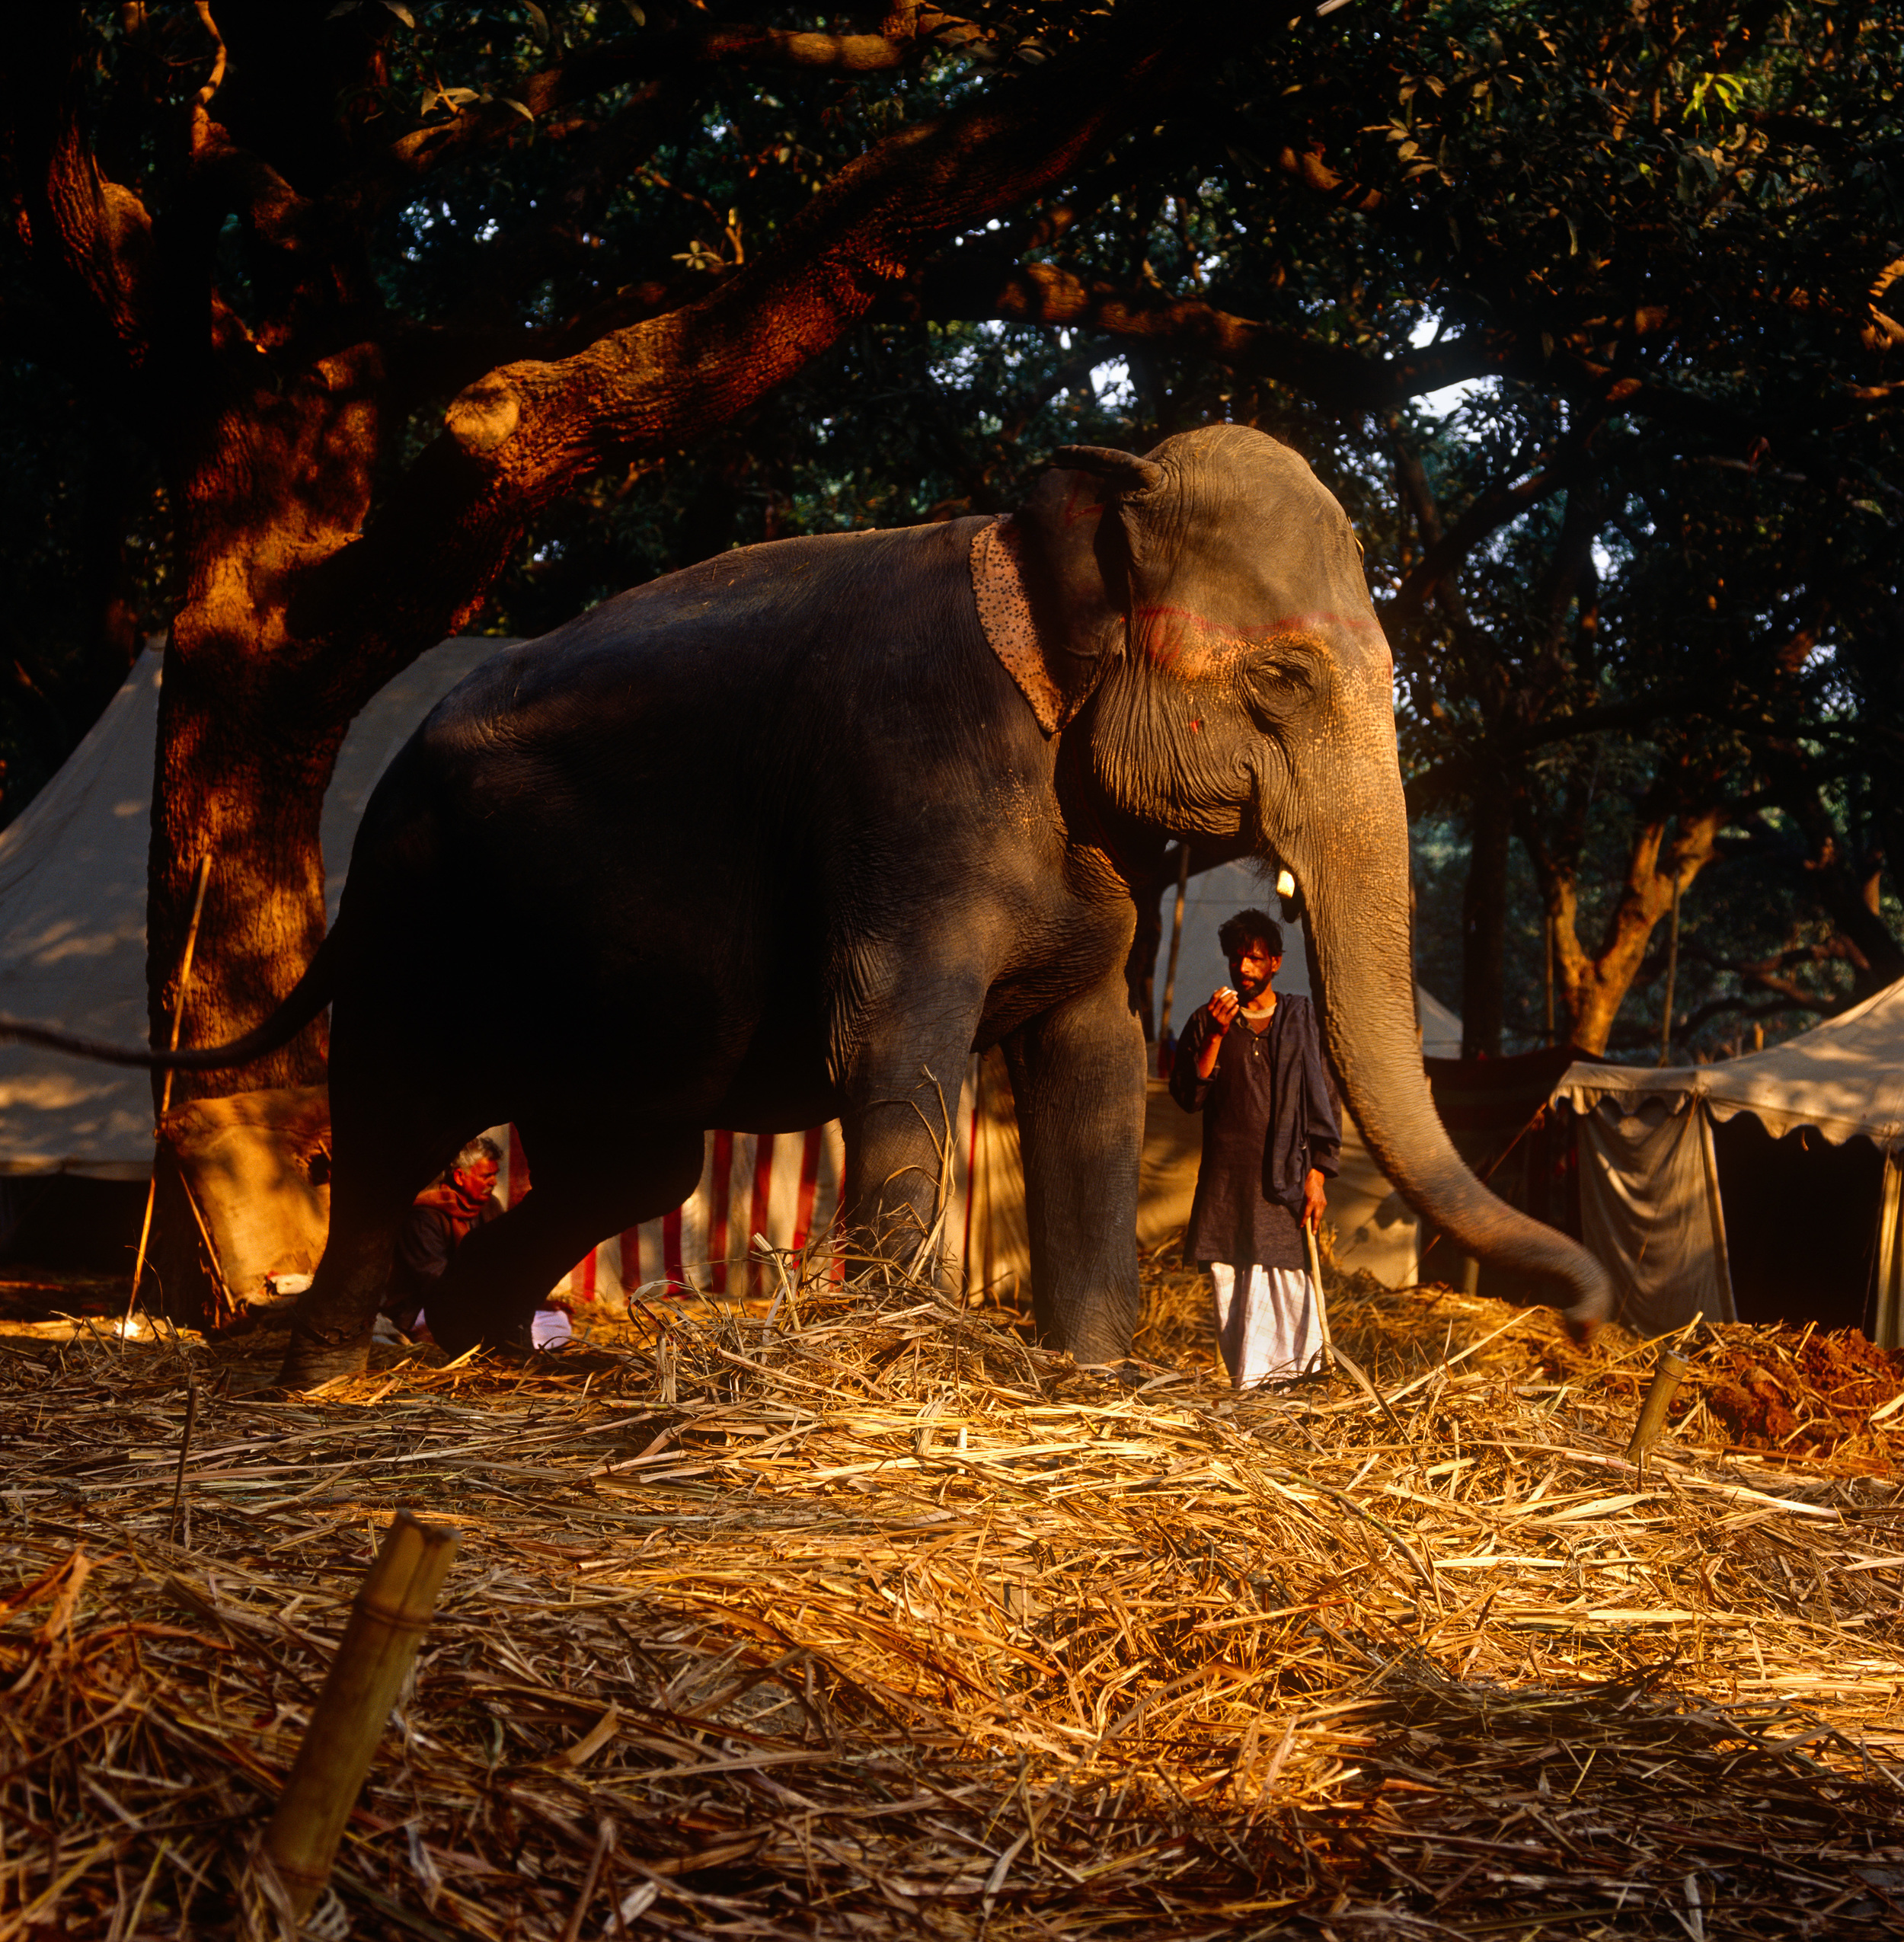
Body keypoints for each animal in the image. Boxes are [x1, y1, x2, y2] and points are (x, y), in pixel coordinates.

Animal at [7, 431, 1616, 1390]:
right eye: (1282, 681)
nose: (1594, 1307)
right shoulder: (901, 784)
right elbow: (891, 1047)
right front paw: (900, 1365)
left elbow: (1093, 1066)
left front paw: (1093, 1383)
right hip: (416, 915)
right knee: (401, 1118)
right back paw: (328, 1371)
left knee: (631, 1169)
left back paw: (501, 1359)